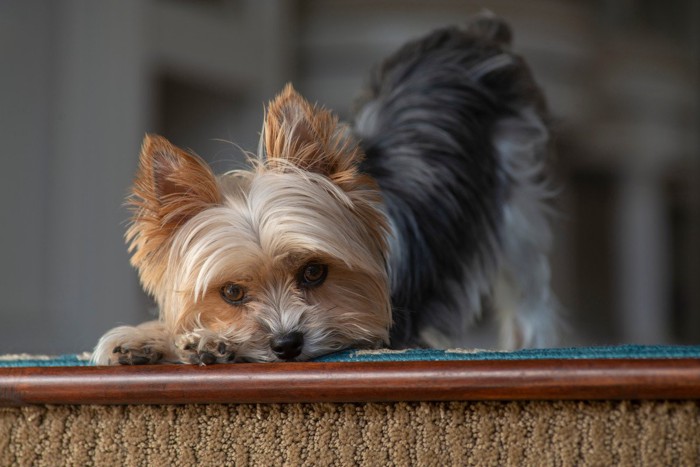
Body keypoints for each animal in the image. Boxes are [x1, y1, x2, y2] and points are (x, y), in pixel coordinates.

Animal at [91, 13, 556, 366]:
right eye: (232, 293)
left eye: (314, 272)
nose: (286, 344)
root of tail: (474, 33)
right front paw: (147, 339)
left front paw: (206, 341)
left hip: (519, 192)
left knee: (530, 288)